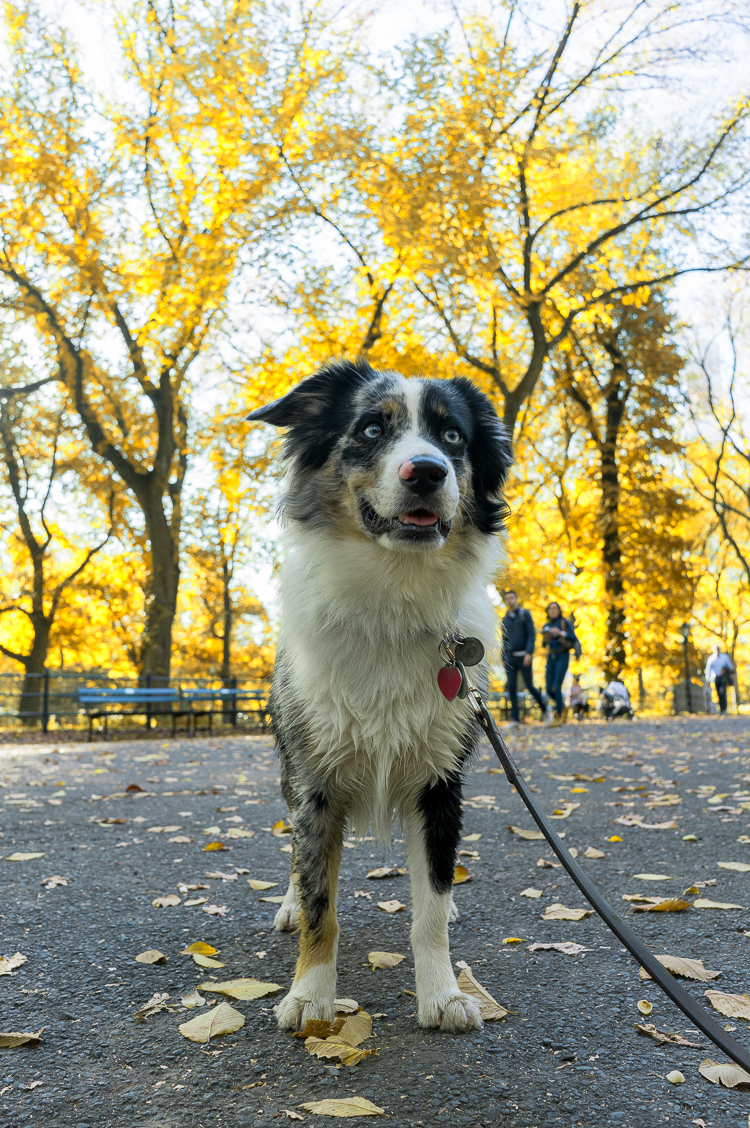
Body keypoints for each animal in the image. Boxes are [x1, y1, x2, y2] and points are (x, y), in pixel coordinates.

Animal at [248, 358, 512, 1033]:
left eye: (452, 436)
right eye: (371, 428)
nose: (427, 471)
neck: (393, 596)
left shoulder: (440, 784)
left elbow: (428, 909)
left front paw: (442, 993)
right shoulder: (315, 780)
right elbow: (321, 901)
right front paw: (310, 996)